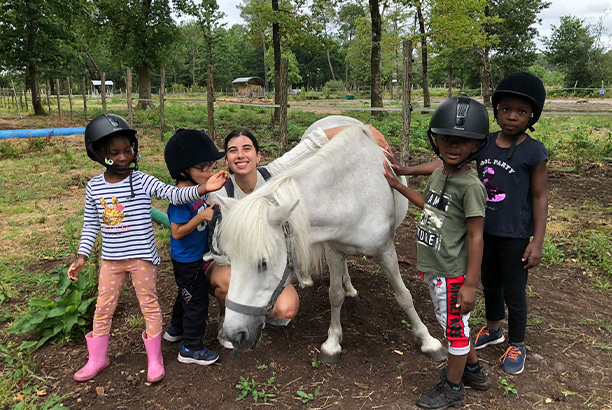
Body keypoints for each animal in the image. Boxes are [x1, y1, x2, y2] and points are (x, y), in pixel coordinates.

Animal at [216, 123, 444, 360]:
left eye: (263, 263)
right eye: (230, 258)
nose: (234, 334)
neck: (351, 194)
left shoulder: (386, 251)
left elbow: (403, 296)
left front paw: (429, 341)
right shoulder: (334, 251)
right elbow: (335, 295)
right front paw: (333, 343)